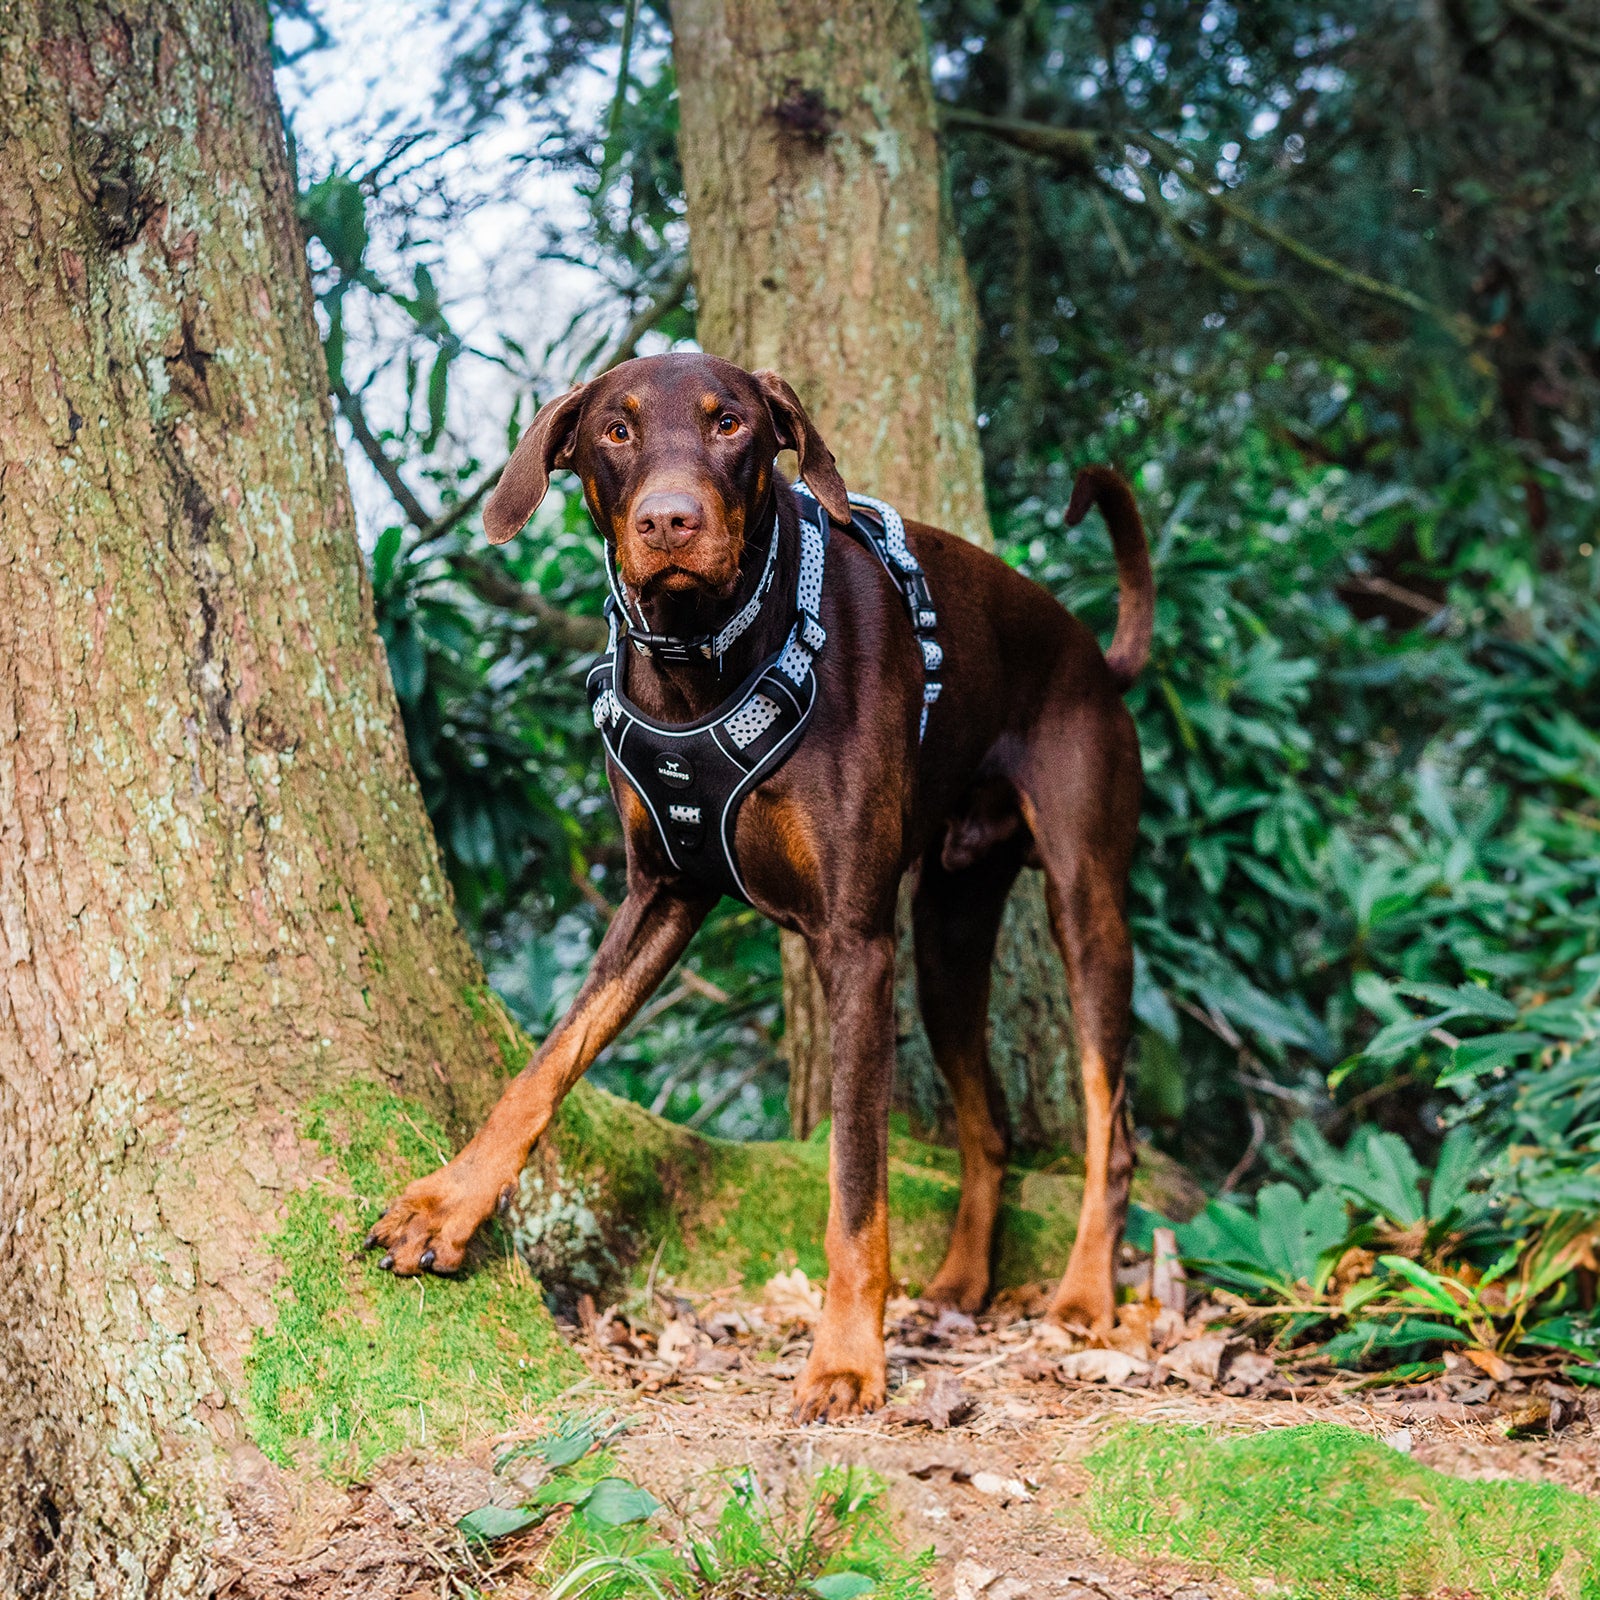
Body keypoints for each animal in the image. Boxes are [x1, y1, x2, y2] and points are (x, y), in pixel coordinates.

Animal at [368, 353, 1158, 1427]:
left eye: (730, 422)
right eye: (615, 431)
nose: (668, 521)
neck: (706, 660)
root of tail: (1095, 657)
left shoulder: (855, 945)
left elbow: (856, 1182)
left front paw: (847, 1357)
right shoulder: (660, 894)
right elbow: (545, 1064)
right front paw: (446, 1205)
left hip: (1084, 904)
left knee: (1108, 1122)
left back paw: (1083, 1295)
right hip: (948, 933)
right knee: (987, 1121)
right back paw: (961, 1282)